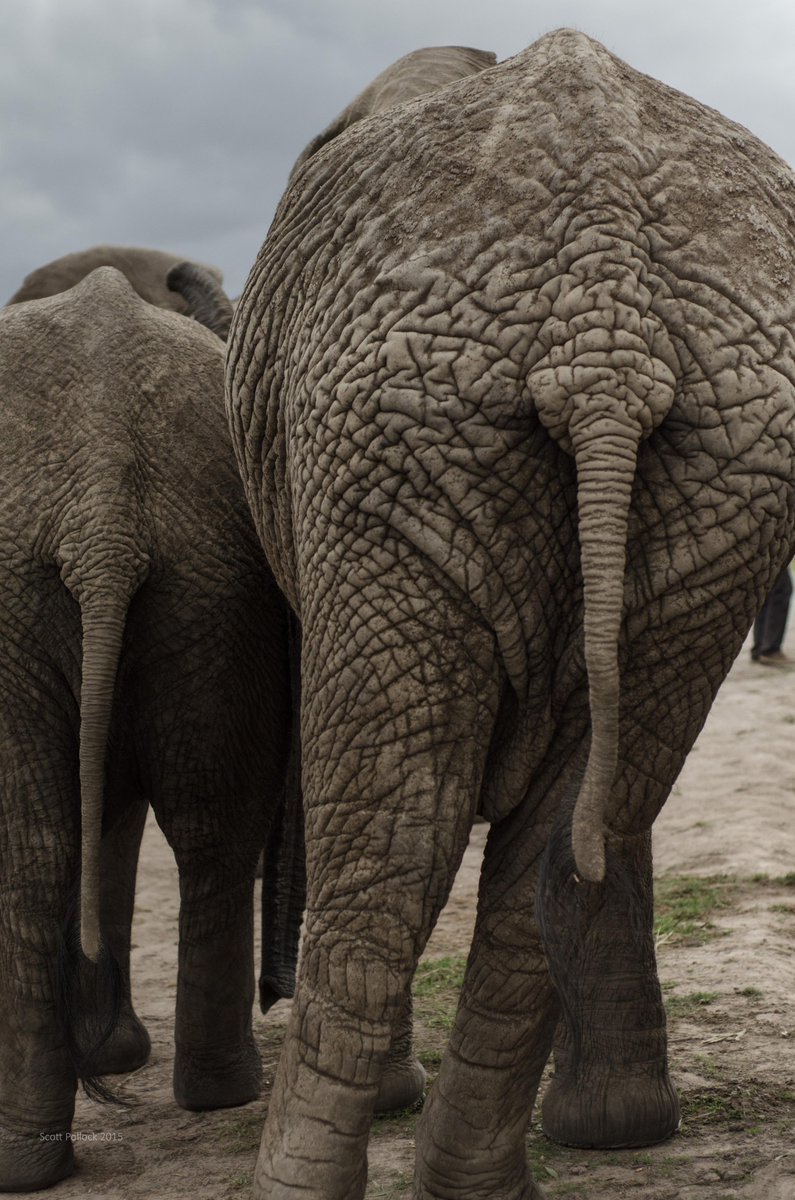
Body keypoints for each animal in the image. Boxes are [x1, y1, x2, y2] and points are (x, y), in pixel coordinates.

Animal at [0, 265, 294, 1192]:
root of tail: (102, 499)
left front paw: (110, 1056)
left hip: (199, 582)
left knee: (178, 829)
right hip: (187, 579)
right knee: (189, 828)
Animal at [226, 30, 795, 1200]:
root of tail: (605, 324)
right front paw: (619, 1129)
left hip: (393, 428)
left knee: (396, 840)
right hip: (728, 459)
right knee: (570, 828)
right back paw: (479, 1183)